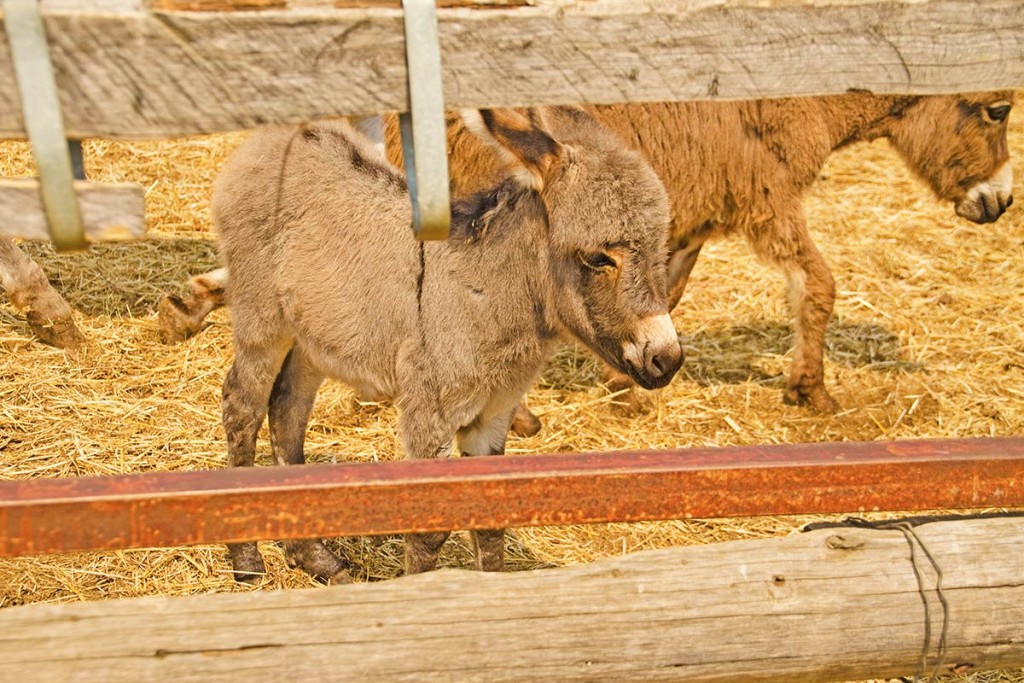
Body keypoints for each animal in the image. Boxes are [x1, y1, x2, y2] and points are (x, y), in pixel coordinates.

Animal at [216, 108, 679, 581]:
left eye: (660, 246)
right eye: (598, 257)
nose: (667, 358)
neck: (489, 292)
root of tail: (277, 138)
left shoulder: (493, 415)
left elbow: (490, 520)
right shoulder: (430, 415)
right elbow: (430, 528)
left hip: (313, 336)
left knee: (286, 410)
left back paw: (313, 556)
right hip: (262, 320)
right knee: (242, 406)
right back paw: (247, 561)